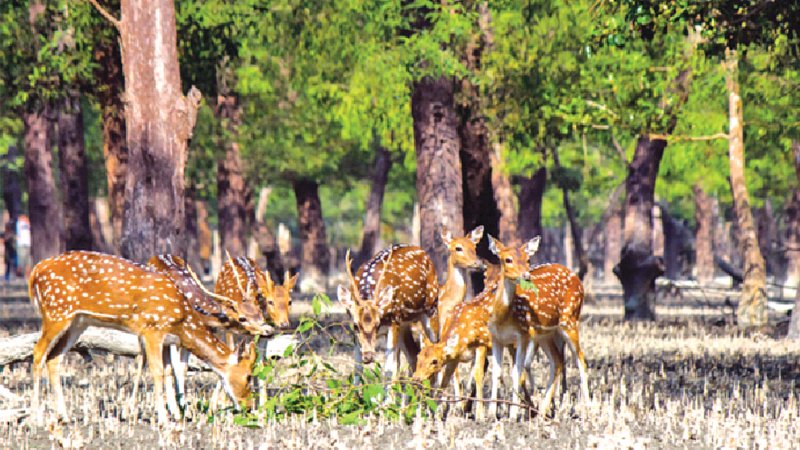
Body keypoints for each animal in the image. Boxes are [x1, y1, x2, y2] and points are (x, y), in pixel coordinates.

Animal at [28, 251, 258, 424]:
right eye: (248, 375)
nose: (248, 406)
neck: (182, 317)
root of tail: (35, 271)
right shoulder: (152, 327)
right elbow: (157, 371)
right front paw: (164, 419)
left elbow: (168, 370)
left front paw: (174, 414)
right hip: (56, 312)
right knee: (38, 353)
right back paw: (36, 418)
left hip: (77, 322)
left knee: (54, 358)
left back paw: (64, 416)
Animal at [336, 244, 440, 382]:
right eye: (356, 325)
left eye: (377, 324)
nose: (368, 356)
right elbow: (357, 369)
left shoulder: (393, 322)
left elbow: (389, 370)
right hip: (404, 323)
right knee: (414, 354)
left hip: (431, 308)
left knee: (438, 348)